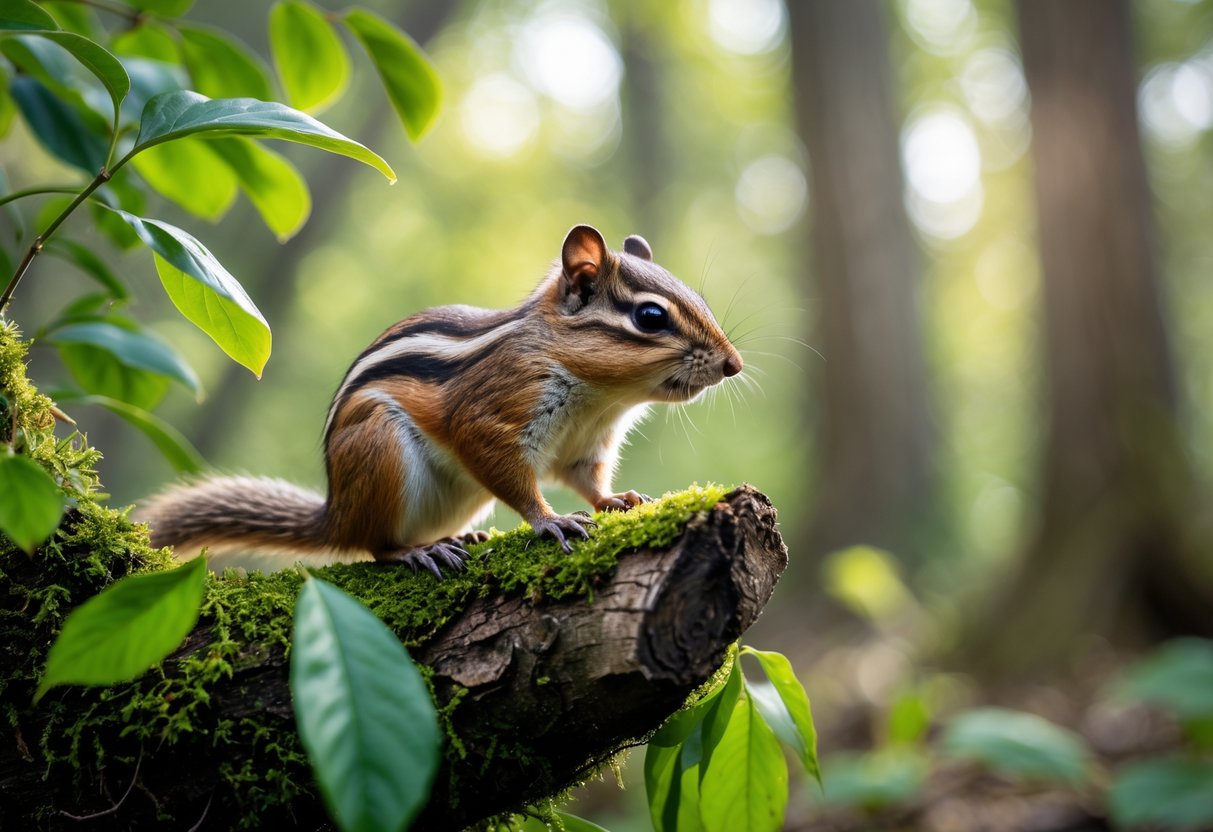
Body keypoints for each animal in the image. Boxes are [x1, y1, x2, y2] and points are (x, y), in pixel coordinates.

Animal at [141, 225, 743, 577]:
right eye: (651, 316)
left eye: (701, 299)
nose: (733, 364)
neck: (600, 396)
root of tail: (336, 513)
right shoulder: (492, 413)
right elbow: (509, 472)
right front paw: (549, 521)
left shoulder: (586, 445)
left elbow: (587, 480)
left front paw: (617, 500)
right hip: (380, 450)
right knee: (373, 546)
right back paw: (416, 550)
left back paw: (462, 535)